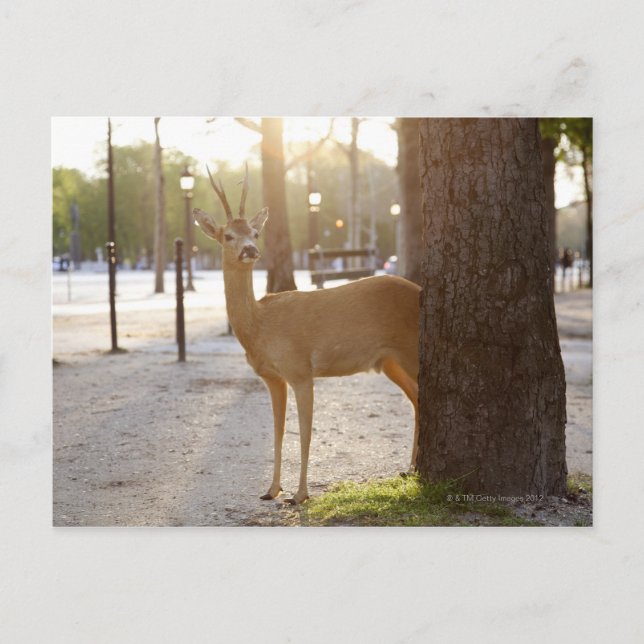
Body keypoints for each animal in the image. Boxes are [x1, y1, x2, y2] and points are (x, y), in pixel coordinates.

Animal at [193, 164, 420, 504]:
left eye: (255, 233)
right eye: (228, 235)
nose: (250, 250)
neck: (260, 328)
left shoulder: (300, 369)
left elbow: (304, 432)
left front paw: (299, 494)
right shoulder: (272, 377)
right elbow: (277, 430)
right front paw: (271, 490)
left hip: (412, 350)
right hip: (391, 361)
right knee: (418, 399)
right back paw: (411, 469)